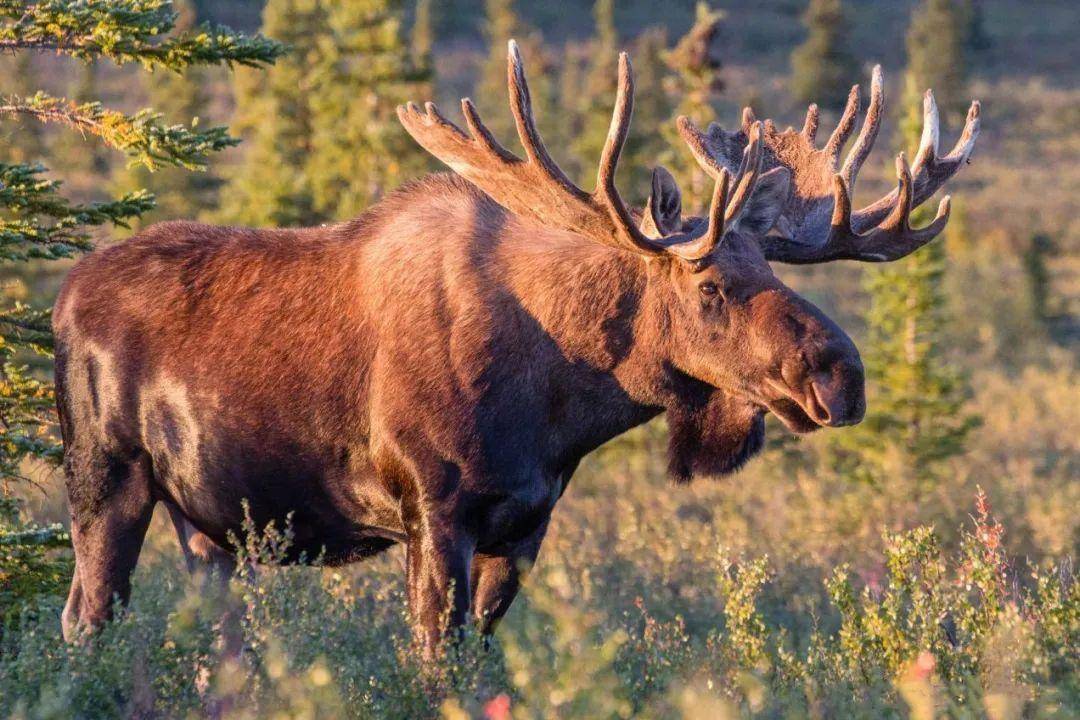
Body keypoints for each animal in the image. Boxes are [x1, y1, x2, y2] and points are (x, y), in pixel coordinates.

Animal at [52, 42, 980, 656]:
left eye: (773, 267)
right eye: (711, 285)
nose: (842, 375)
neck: (559, 404)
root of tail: (60, 299)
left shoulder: (524, 527)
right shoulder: (435, 511)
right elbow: (432, 660)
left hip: (209, 525)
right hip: (106, 478)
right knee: (85, 619)